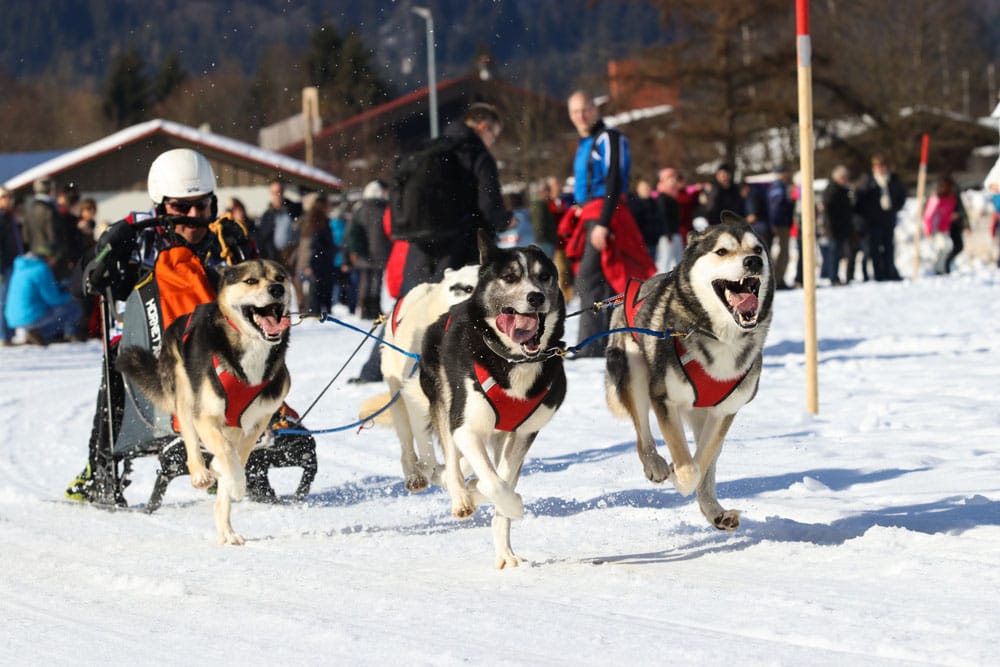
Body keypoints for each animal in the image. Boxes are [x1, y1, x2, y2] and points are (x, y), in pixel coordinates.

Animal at [116, 258, 292, 544]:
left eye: (280, 278)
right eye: (251, 281)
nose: (276, 289)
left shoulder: (259, 419)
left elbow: (238, 453)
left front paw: (228, 475)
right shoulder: (206, 416)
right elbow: (226, 454)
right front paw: (234, 482)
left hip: (230, 423)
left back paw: (227, 529)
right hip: (186, 394)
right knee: (189, 435)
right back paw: (200, 473)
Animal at [376, 264, 482, 490]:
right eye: (465, 288)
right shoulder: (415, 398)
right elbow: (426, 451)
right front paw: (432, 471)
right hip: (398, 401)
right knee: (407, 445)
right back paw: (415, 475)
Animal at [418, 232, 568, 572]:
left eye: (544, 276)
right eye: (510, 277)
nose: (536, 297)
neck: (513, 361)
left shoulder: (523, 433)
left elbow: (501, 480)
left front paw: (505, 546)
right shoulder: (466, 428)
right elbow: (496, 484)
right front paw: (510, 503)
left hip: (501, 434)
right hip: (444, 403)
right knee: (452, 461)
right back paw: (460, 496)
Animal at [600, 217, 772, 536]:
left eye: (757, 249)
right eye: (721, 251)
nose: (753, 261)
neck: (723, 339)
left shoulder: (723, 412)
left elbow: (702, 462)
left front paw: (699, 491)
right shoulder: (665, 399)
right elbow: (687, 463)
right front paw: (677, 476)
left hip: (703, 415)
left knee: (709, 462)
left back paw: (716, 511)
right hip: (635, 371)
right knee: (642, 433)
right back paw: (656, 464)